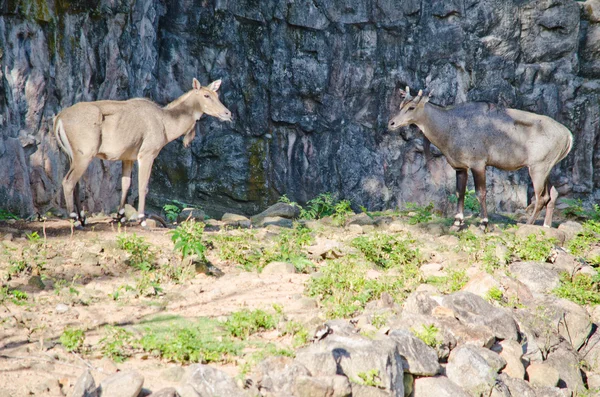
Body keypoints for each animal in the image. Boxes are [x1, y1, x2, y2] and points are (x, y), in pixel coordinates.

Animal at [54, 78, 232, 226]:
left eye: (216, 94)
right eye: (206, 95)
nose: (228, 113)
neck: (165, 123)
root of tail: (59, 119)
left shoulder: (128, 157)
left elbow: (126, 184)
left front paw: (121, 217)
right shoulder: (147, 153)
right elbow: (143, 186)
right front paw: (141, 219)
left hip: (72, 155)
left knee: (75, 183)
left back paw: (83, 218)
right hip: (85, 153)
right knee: (68, 181)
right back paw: (75, 219)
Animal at [386, 86, 576, 229]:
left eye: (411, 107)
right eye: (401, 104)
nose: (391, 123)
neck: (450, 126)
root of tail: (568, 135)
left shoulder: (478, 163)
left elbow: (481, 193)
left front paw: (484, 223)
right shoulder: (460, 166)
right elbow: (460, 192)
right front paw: (457, 223)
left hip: (538, 167)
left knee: (541, 197)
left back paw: (528, 224)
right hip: (546, 168)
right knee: (553, 193)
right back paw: (546, 226)